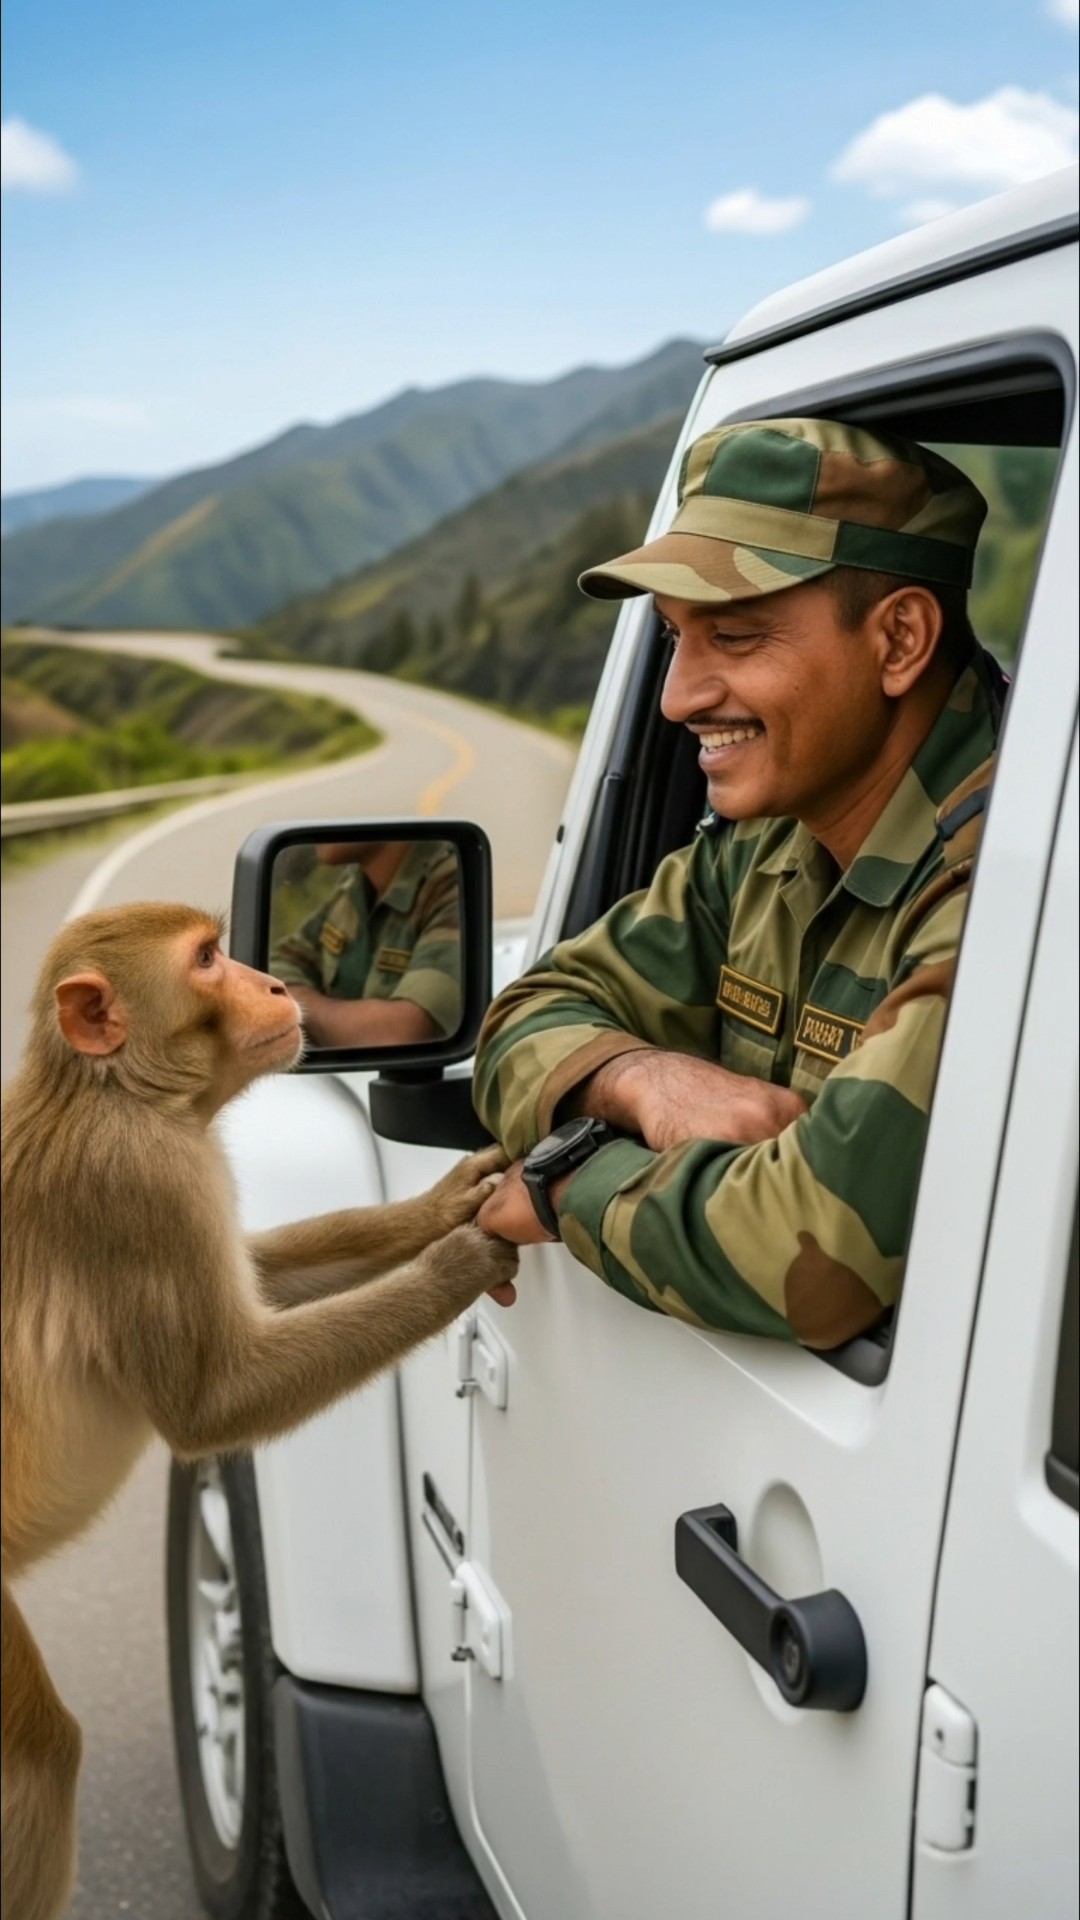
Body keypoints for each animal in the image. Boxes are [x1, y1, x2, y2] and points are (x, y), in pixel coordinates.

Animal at [1, 901, 517, 1920]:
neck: (119, 1096)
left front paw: (441, 1206)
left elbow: (257, 1286)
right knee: (37, 1759)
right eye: (208, 960)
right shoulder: (141, 1188)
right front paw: (461, 1261)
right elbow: (212, 1403)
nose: (276, 984)